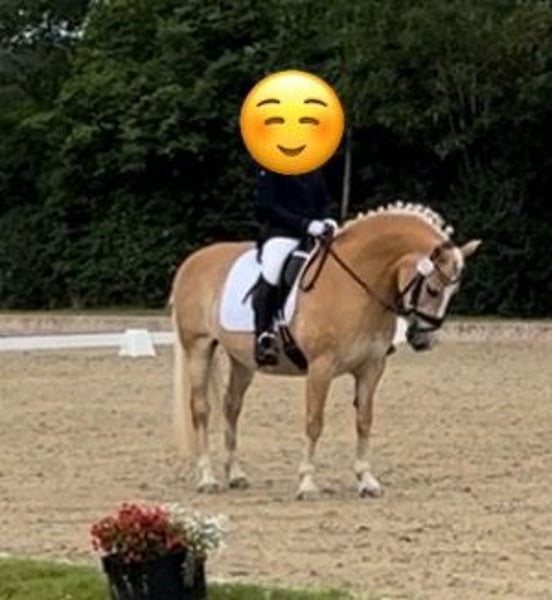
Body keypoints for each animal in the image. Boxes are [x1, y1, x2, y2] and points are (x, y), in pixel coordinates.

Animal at [169, 201, 481, 500]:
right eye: (432, 289)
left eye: (453, 292)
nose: (424, 340)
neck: (357, 285)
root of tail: (192, 261)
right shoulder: (321, 366)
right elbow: (314, 422)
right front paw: (307, 484)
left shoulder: (371, 367)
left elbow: (364, 421)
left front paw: (366, 480)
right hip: (198, 348)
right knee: (201, 409)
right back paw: (207, 479)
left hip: (243, 361)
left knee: (231, 407)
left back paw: (236, 475)